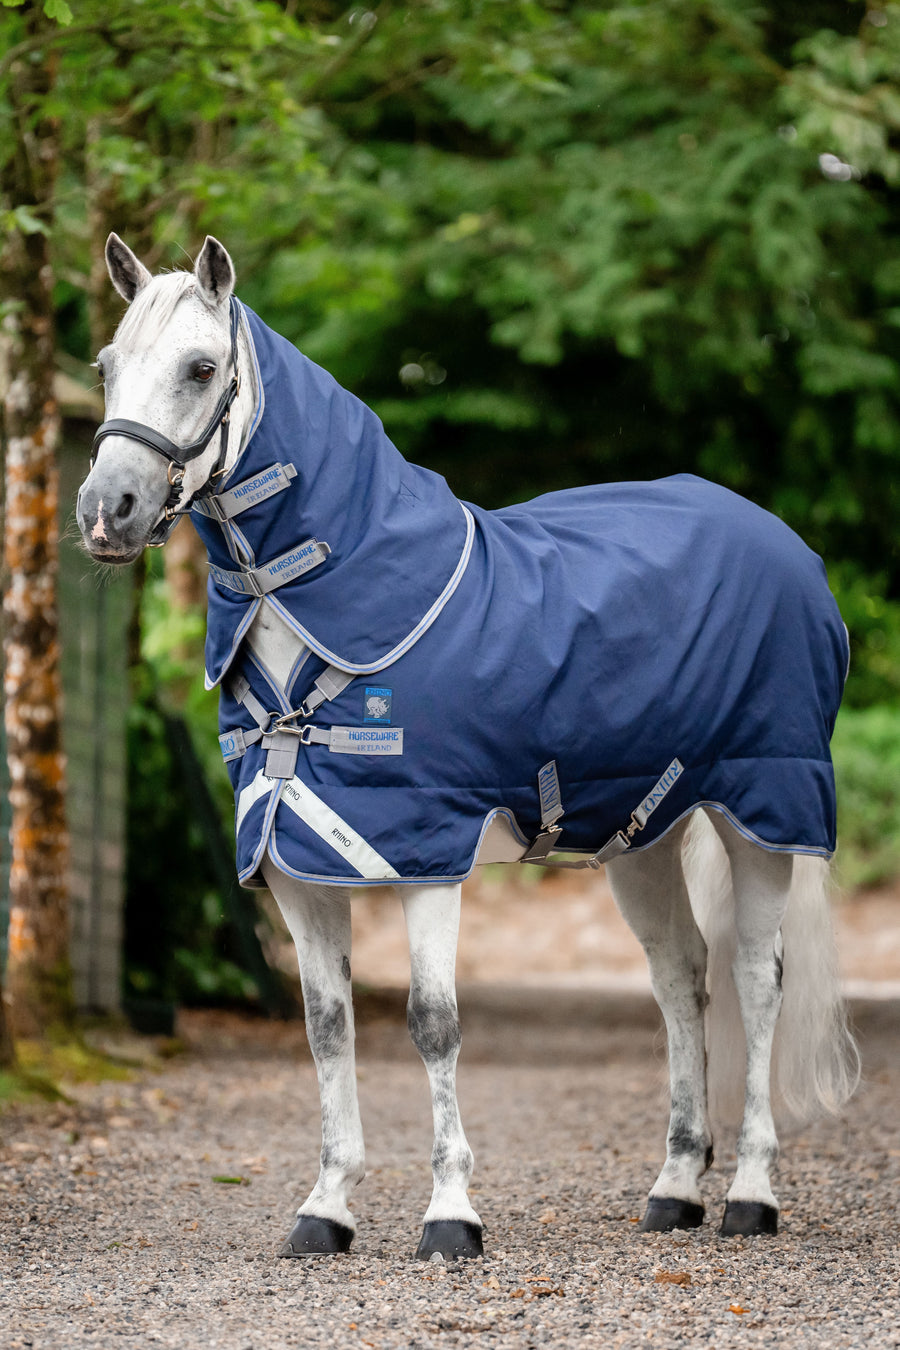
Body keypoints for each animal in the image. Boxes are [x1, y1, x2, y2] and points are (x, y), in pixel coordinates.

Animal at [76, 234, 859, 1261]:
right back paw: (675, 1189)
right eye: (106, 366)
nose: (107, 511)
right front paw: (325, 1207)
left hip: (762, 815)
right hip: (643, 837)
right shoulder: (294, 862)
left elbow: (433, 1024)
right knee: (679, 980)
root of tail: (787, 548)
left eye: (202, 368)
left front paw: (450, 1214)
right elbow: (327, 1027)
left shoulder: (424, 855)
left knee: (756, 983)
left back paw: (751, 1197)